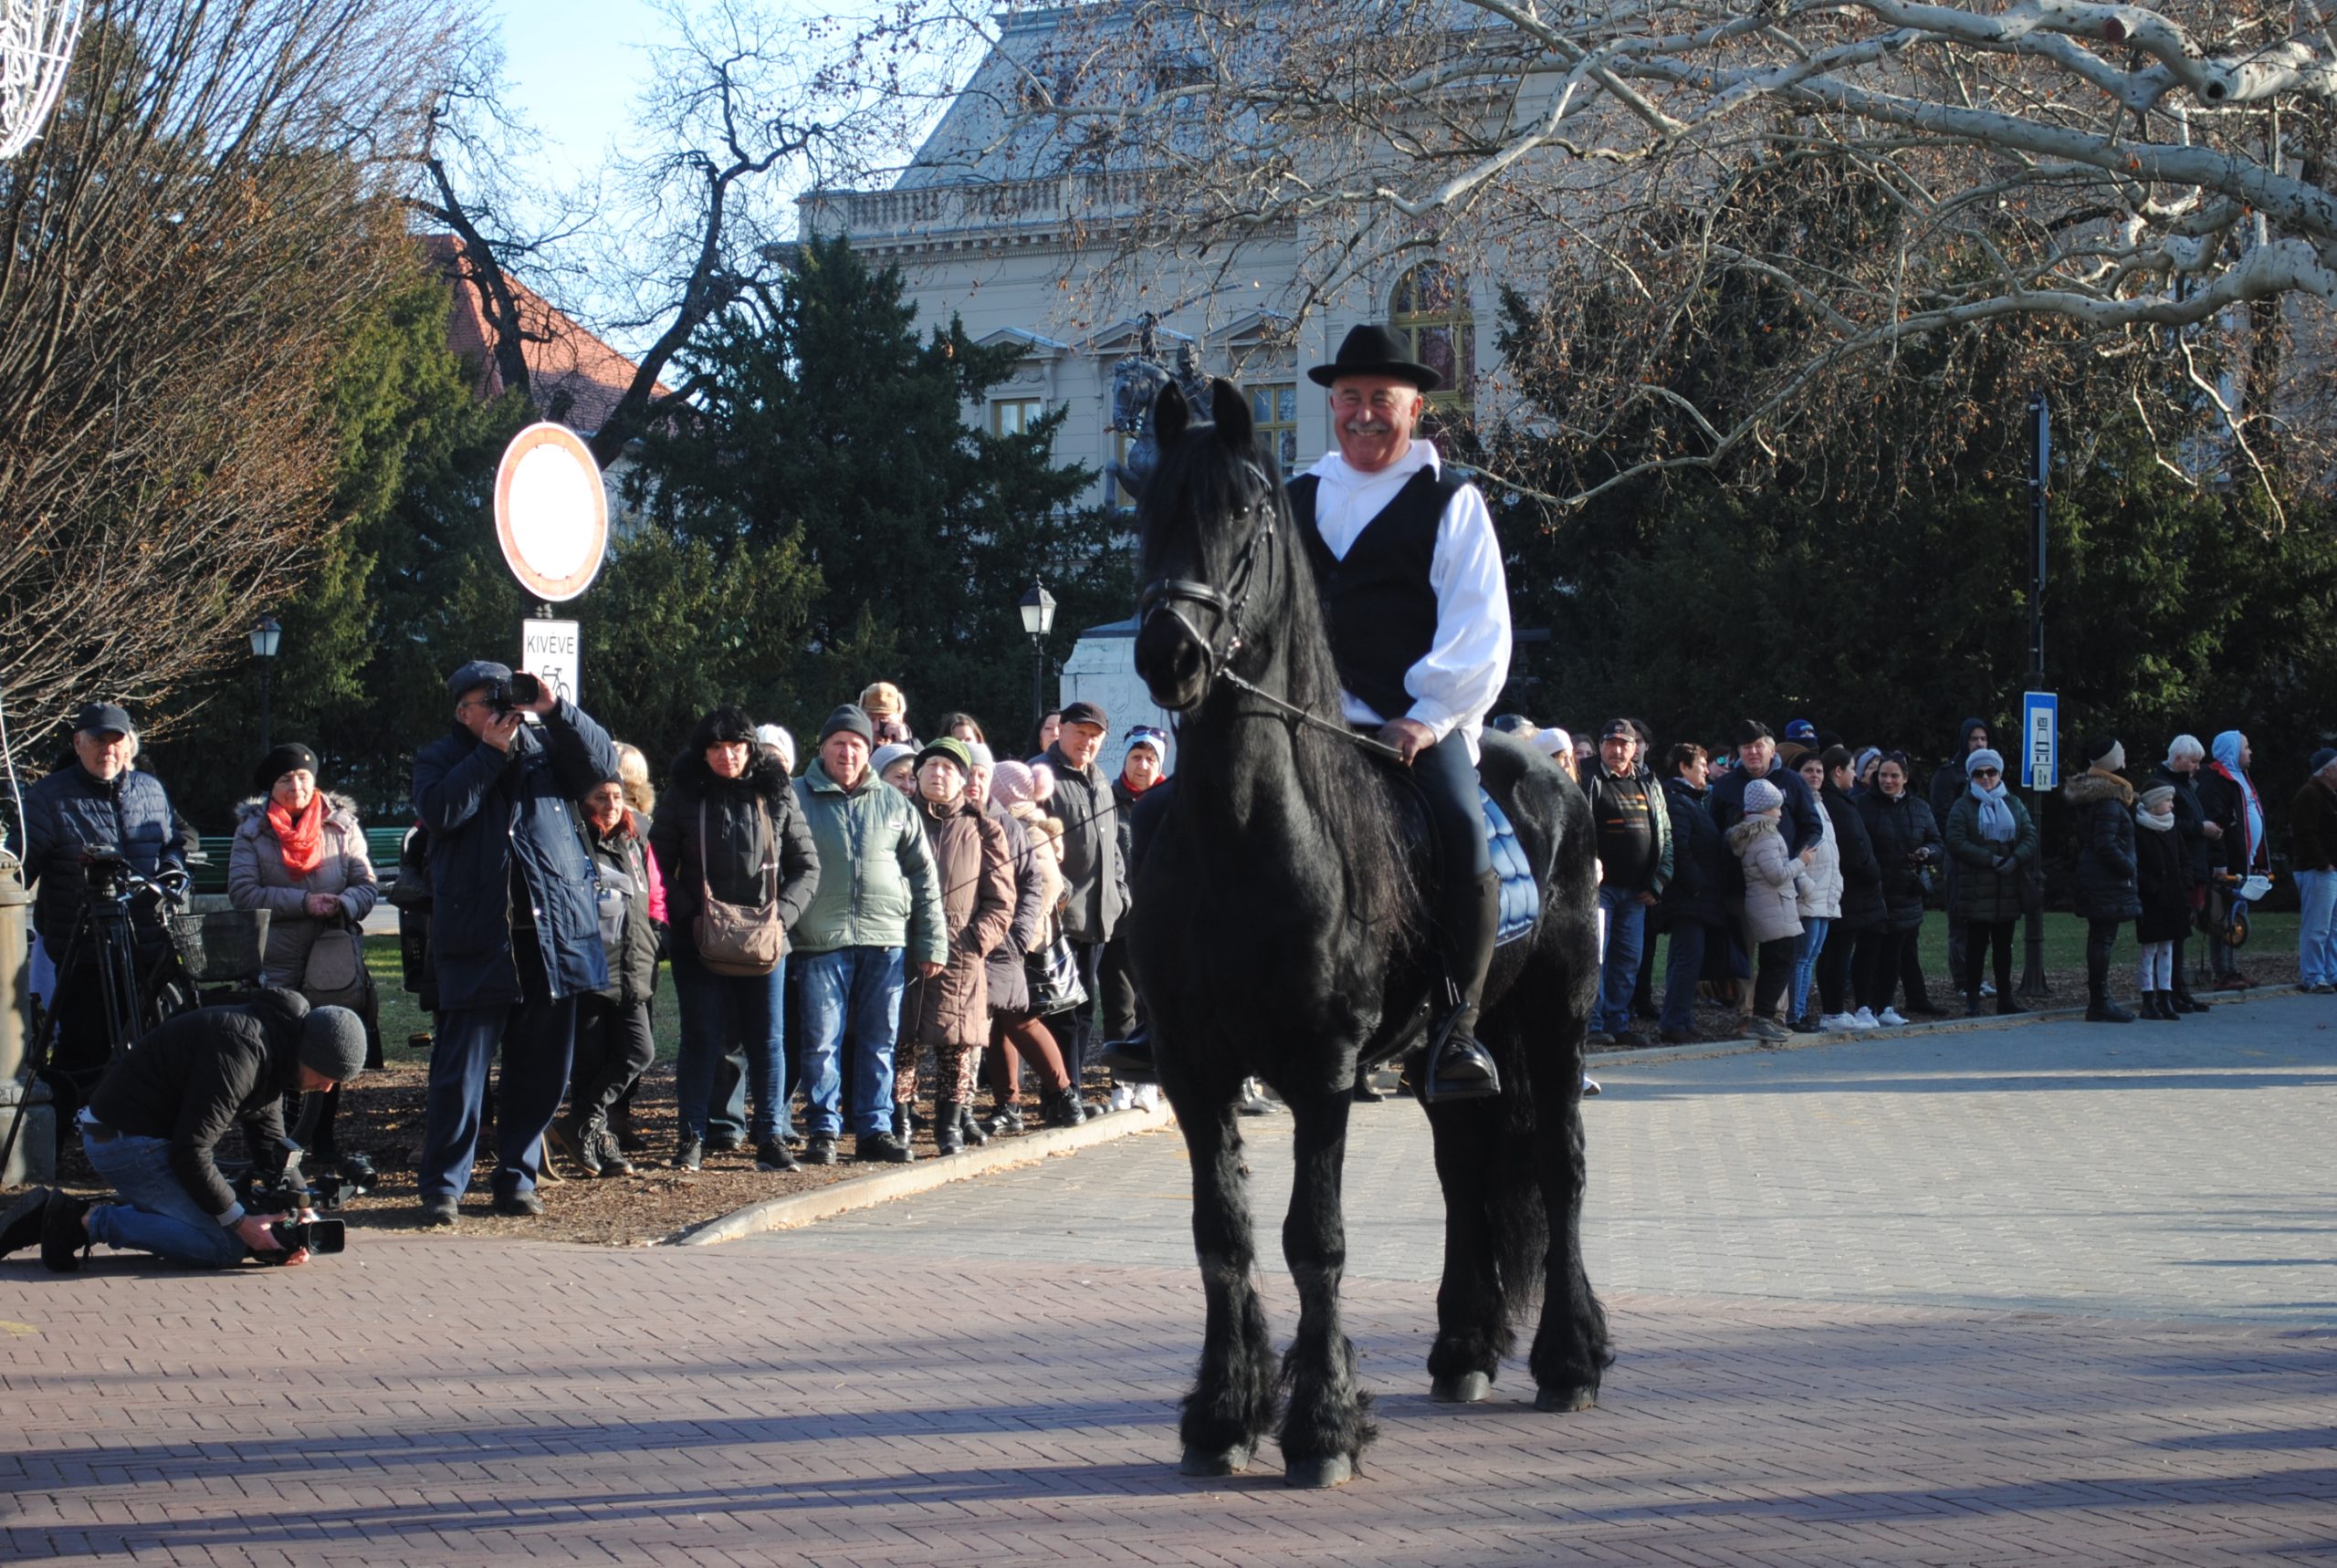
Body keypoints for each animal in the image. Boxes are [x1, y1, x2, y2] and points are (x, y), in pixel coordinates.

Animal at [1126, 376, 1608, 1486]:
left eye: (1245, 513)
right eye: (1149, 511)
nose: (1168, 654)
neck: (1245, 843)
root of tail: (1552, 768)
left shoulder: (1323, 1067)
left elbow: (1318, 1240)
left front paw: (1322, 1424)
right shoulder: (1193, 1066)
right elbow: (1222, 1234)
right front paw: (1224, 1414)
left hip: (1554, 1018)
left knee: (1558, 1169)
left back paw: (1568, 1360)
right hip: (1447, 1051)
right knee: (1466, 1168)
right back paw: (1463, 1348)